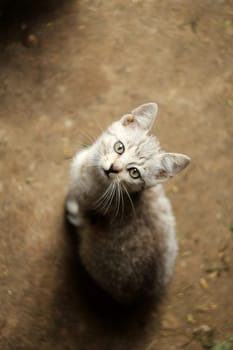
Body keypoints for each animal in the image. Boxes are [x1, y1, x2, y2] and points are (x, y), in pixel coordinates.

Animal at [66, 103, 190, 304]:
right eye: (119, 148)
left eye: (134, 172)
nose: (112, 169)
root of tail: (143, 294)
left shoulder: (86, 208)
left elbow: (79, 213)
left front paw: (71, 212)